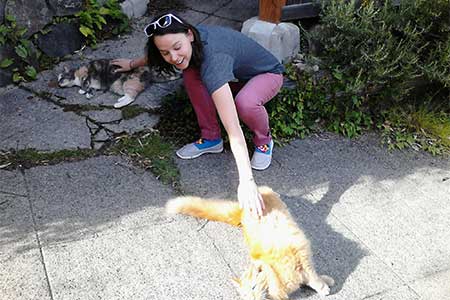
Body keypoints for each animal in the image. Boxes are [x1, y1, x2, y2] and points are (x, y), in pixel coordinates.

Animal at [166, 186, 334, 298]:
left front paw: (324, 284)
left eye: (254, 288)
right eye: (245, 296)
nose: (253, 298)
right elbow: (310, 279)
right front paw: (325, 283)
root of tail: (242, 210)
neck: (276, 275)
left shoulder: (302, 257)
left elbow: (314, 277)